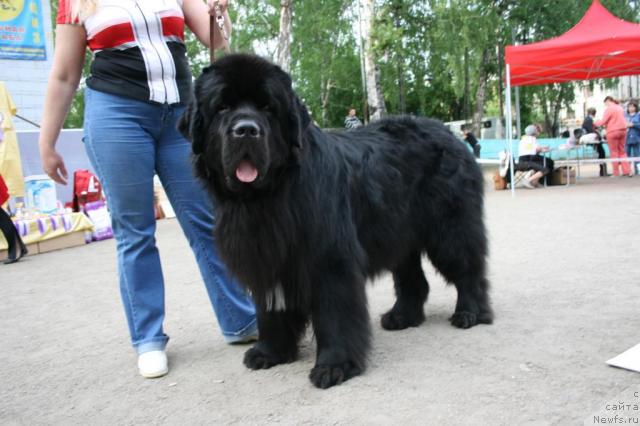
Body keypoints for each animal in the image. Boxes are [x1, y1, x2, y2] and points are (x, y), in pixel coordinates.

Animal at [180, 54, 496, 390]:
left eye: (267, 107)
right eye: (222, 108)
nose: (246, 130)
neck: (270, 196)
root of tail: (452, 135)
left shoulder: (329, 259)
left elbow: (334, 314)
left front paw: (334, 365)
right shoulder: (267, 258)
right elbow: (270, 310)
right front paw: (270, 352)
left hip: (450, 229)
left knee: (468, 269)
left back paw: (470, 313)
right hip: (398, 234)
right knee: (413, 280)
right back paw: (402, 317)